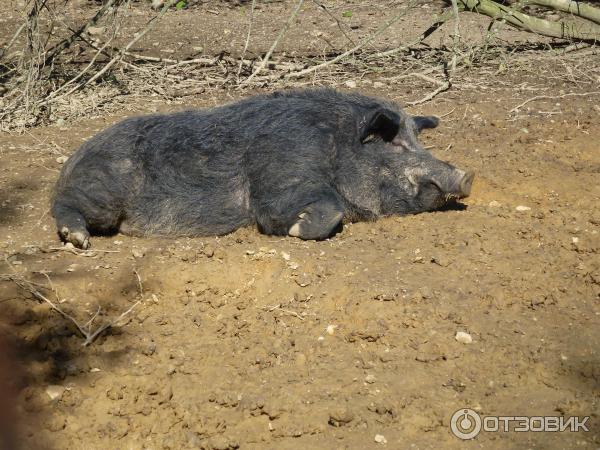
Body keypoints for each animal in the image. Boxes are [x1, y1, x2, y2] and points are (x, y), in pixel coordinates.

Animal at [51, 89, 474, 250]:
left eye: (419, 141)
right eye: (395, 144)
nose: (468, 176)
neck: (334, 147)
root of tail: (74, 157)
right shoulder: (282, 172)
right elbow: (323, 208)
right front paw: (297, 230)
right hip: (100, 190)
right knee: (66, 208)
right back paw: (78, 240)